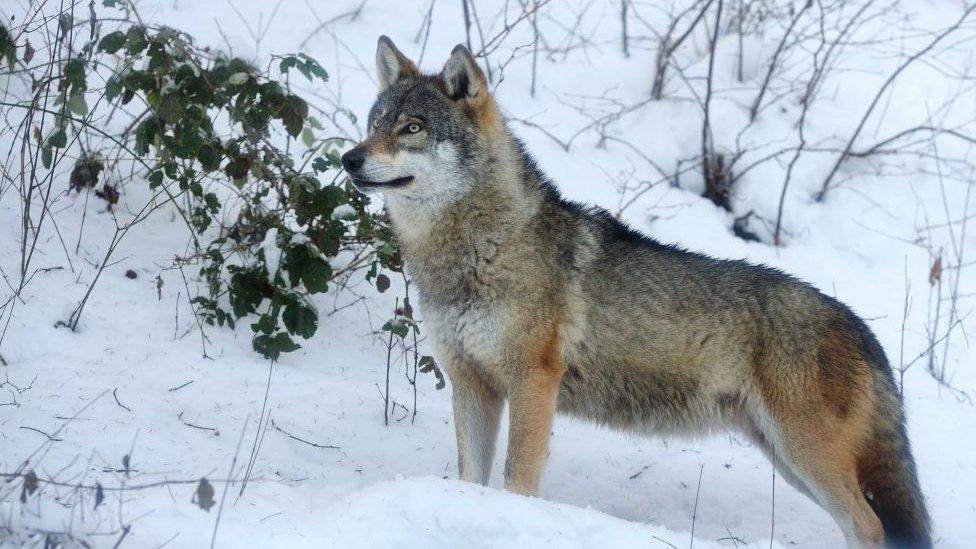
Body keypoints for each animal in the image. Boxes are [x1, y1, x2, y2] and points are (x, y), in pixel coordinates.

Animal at [342, 36, 932, 544]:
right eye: (375, 124)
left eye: (413, 128)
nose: (350, 158)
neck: (476, 251)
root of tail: (857, 325)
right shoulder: (471, 383)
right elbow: (472, 478)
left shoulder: (533, 383)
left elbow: (517, 481)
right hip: (789, 462)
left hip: (806, 455)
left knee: (870, 526)